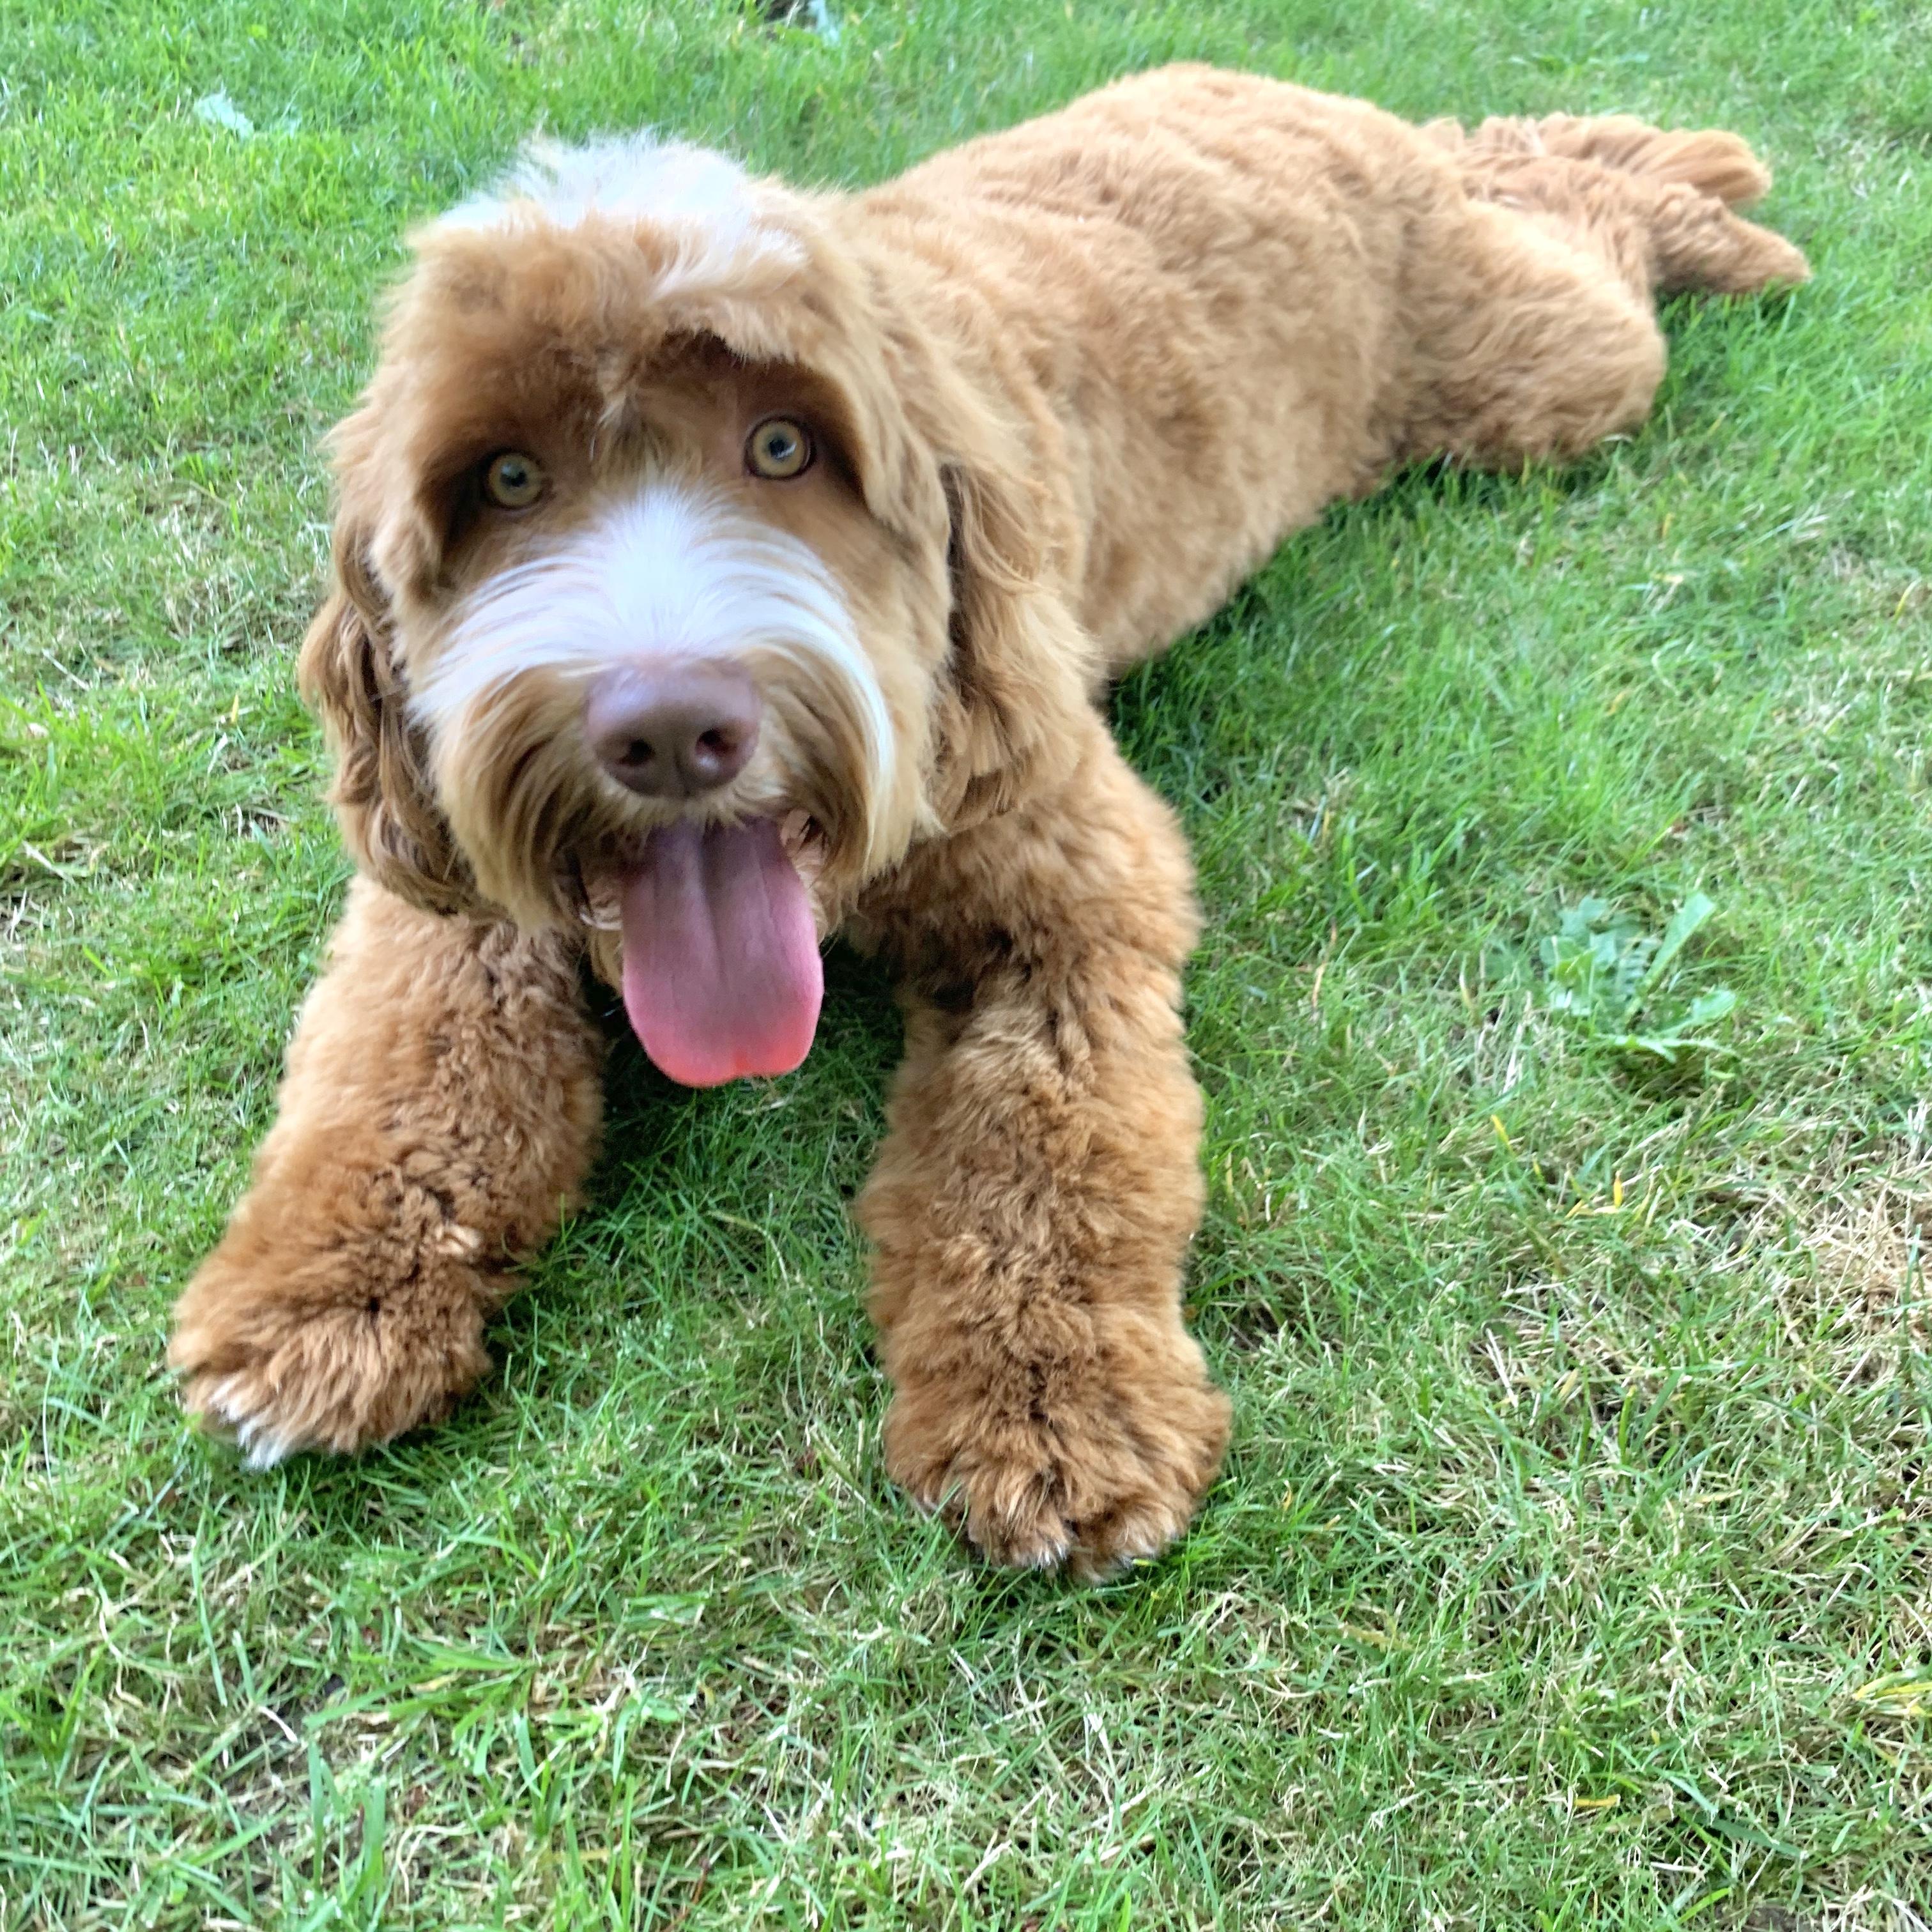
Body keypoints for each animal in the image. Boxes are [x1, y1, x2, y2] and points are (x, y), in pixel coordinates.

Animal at [169, 65, 1806, 1575]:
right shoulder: (450, 880)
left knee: (1575, 203)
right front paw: (325, 1296)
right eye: (505, 478)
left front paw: (1054, 1407)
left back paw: (1713, 208)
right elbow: (400, 1069)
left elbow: (1048, 1153)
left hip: (1544, 373)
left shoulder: (1070, 881)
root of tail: (1312, 97)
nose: (669, 727)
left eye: (787, 448)